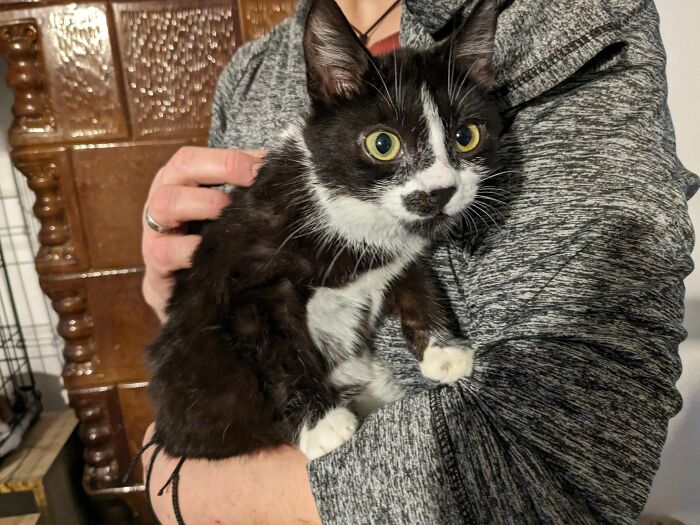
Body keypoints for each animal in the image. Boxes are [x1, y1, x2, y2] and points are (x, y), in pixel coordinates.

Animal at [146, 0, 504, 458]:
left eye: (466, 136)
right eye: (383, 144)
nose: (440, 191)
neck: (356, 217)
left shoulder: (400, 251)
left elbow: (418, 282)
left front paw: (443, 351)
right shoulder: (245, 278)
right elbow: (275, 348)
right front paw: (322, 424)